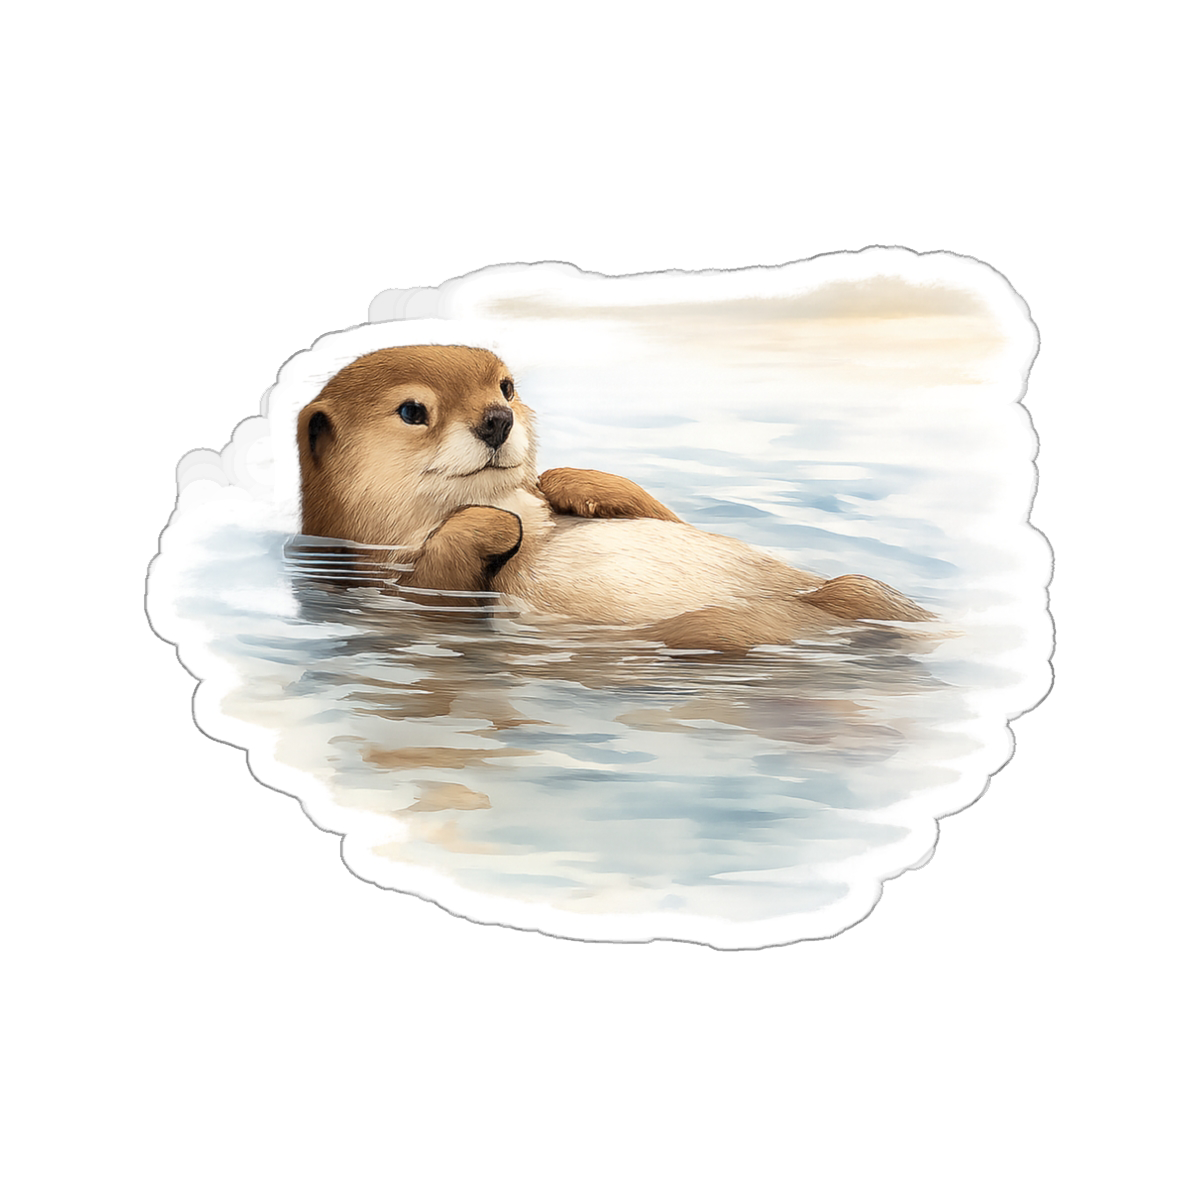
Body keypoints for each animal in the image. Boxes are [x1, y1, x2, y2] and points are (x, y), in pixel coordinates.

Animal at [295, 345, 933, 651]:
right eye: (412, 411)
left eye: (506, 386)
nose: (498, 418)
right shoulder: (384, 577)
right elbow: (436, 586)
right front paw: (492, 524)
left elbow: (662, 511)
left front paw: (570, 484)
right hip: (714, 629)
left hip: (850, 589)